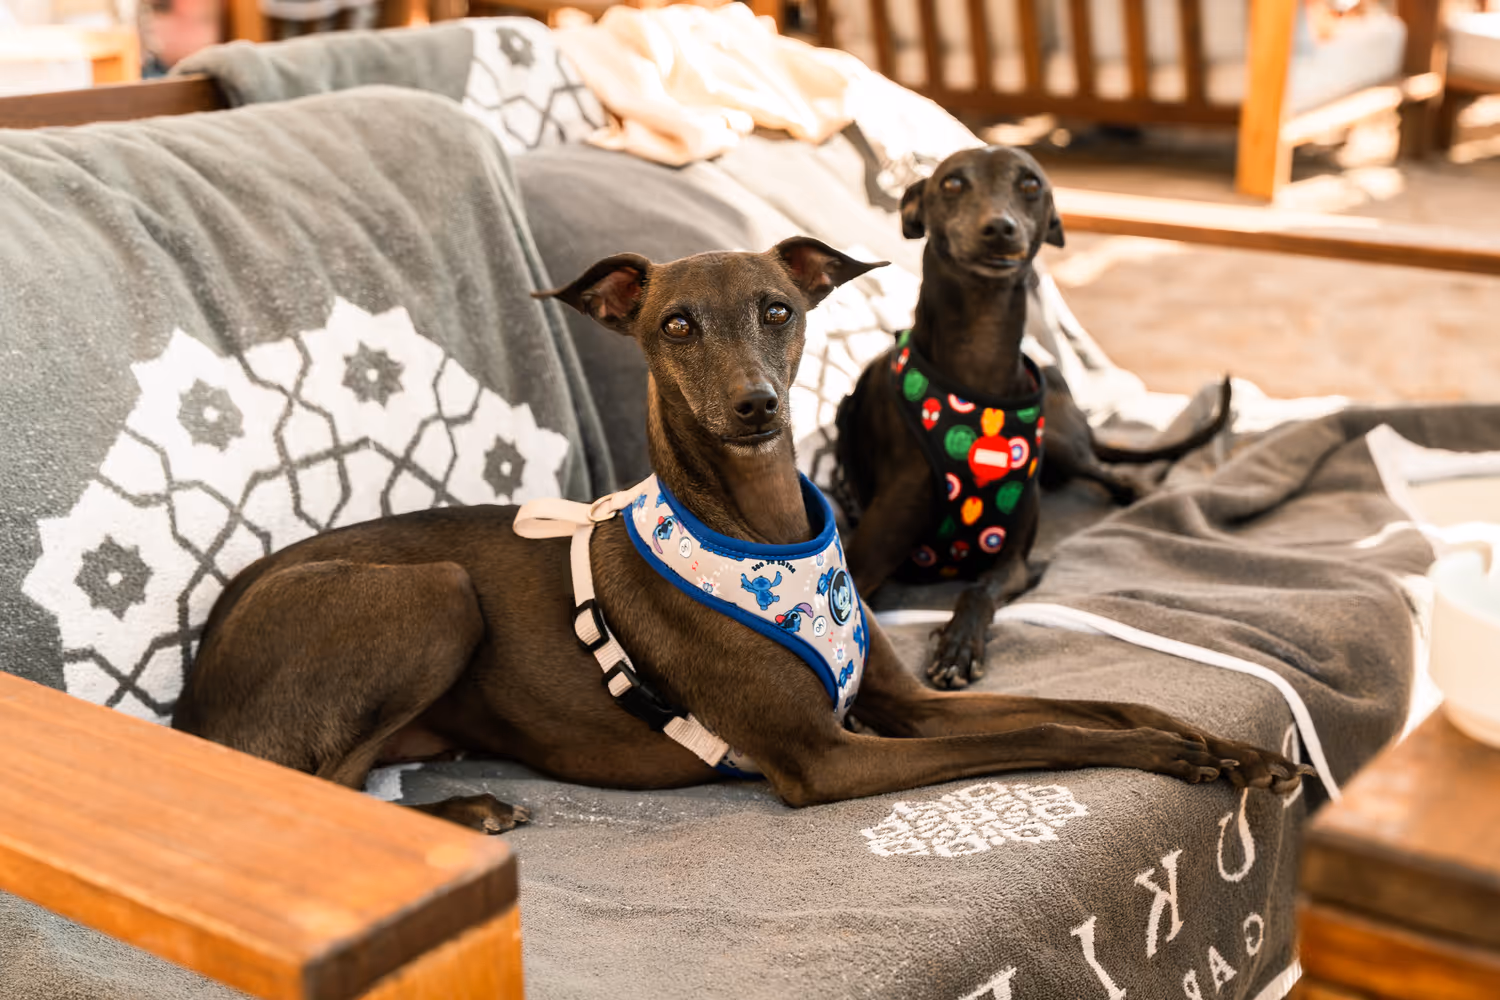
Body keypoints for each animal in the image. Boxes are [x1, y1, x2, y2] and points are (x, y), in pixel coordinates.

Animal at [172, 238, 1308, 833]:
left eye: (777, 308)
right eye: (675, 324)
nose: (756, 408)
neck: (762, 529)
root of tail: (193, 685)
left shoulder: (900, 706)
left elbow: (1092, 700)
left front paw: (1227, 750)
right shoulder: (824, 757)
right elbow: (1038, 736)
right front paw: (1165, 756)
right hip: (435, 590)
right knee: (314, 788)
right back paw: (468, 813)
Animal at [836, 145, 1231, 690]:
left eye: (1030, 185)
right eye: (952, 183)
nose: (999, 229)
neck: (977, 364)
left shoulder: (1016, 563)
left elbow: (977, 589)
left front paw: (958, 646)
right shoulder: (864, 560)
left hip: (1060, 445)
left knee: (1101, 466)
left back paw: (1136, 488)